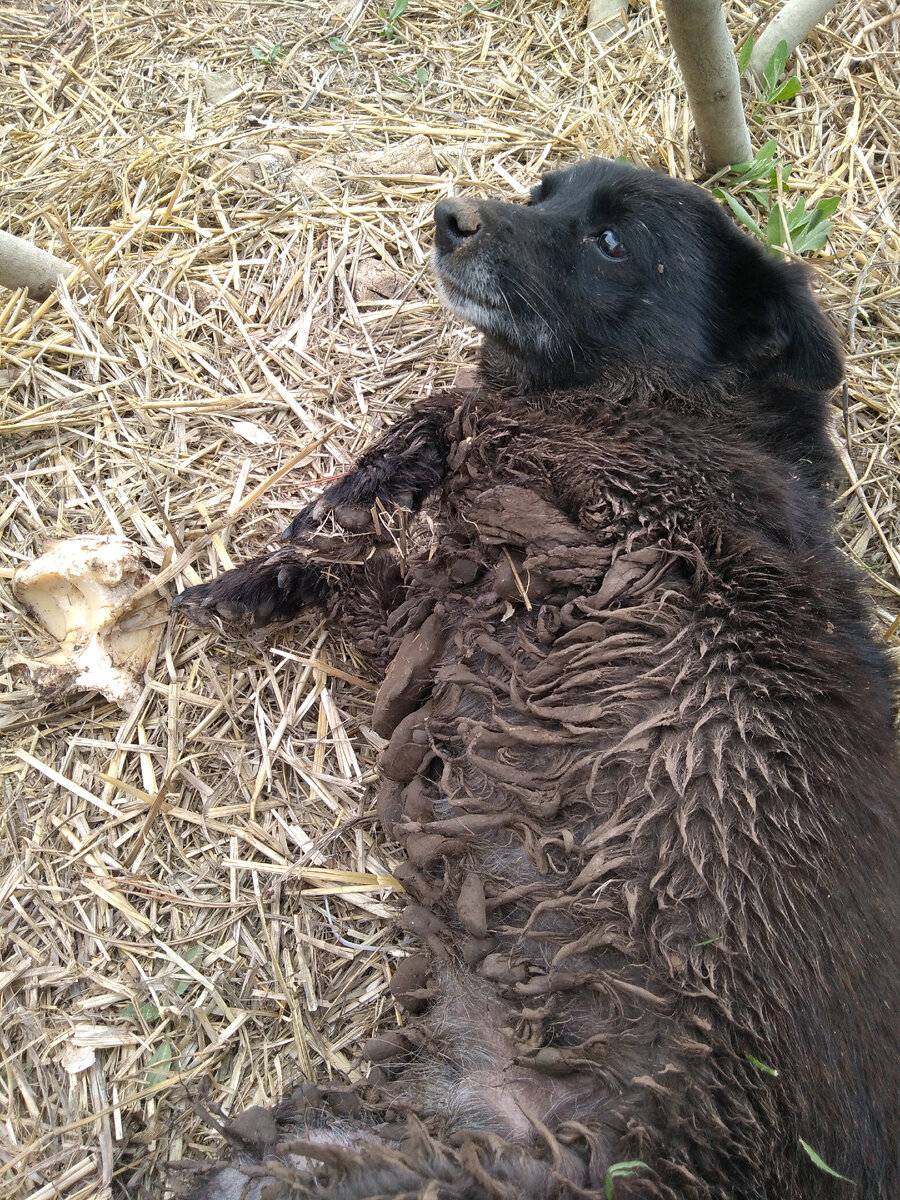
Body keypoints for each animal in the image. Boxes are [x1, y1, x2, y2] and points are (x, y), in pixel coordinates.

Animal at [172, 162, 897, 1200]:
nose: (450, 218)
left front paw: (272, 563)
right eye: (544, 190)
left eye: (614, 242)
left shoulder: (466, 578)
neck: (661, 410)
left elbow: (411, 462)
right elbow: (419, 435)